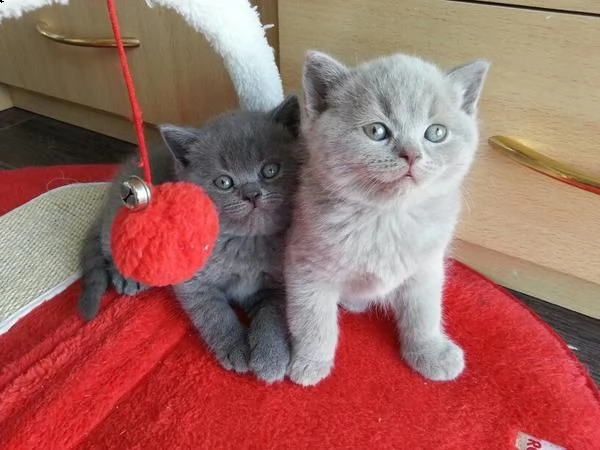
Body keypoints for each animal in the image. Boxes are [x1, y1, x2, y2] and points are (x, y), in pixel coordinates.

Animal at [284, 50, 488, 386]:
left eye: (436, 132)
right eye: (376, 131)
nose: (412, 154)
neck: (388, 218)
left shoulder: (426, 267)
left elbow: (424, 311)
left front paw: (429, 351)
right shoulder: (305, 265)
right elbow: (313, 318)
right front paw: (311, 361)